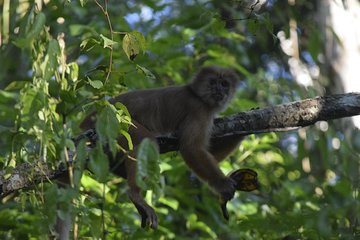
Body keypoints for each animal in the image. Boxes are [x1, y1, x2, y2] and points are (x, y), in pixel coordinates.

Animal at [81, 65, 243, 229]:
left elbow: (211, 155)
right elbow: (190, 149)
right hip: (115, 122)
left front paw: (243, 130)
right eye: (213, 82)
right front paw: (222, 184)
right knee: (146, 141)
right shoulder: (199, 110)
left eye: (224, 84)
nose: (219, 89)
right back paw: (134, 194)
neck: (198, 96)